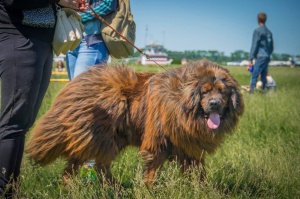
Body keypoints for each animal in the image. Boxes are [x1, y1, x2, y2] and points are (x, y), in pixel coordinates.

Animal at [26, 58, 244, 185]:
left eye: (223, 92)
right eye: (205, 92)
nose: (215, 104)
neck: (181, 104)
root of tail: (75, 84)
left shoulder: (190, 147)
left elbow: (199, 173)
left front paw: (200, 189)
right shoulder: (157, 143)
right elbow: (152, 171)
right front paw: (149, 190)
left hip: (105, 139)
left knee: (87, 165)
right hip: (98, 136)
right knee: (92, 164)